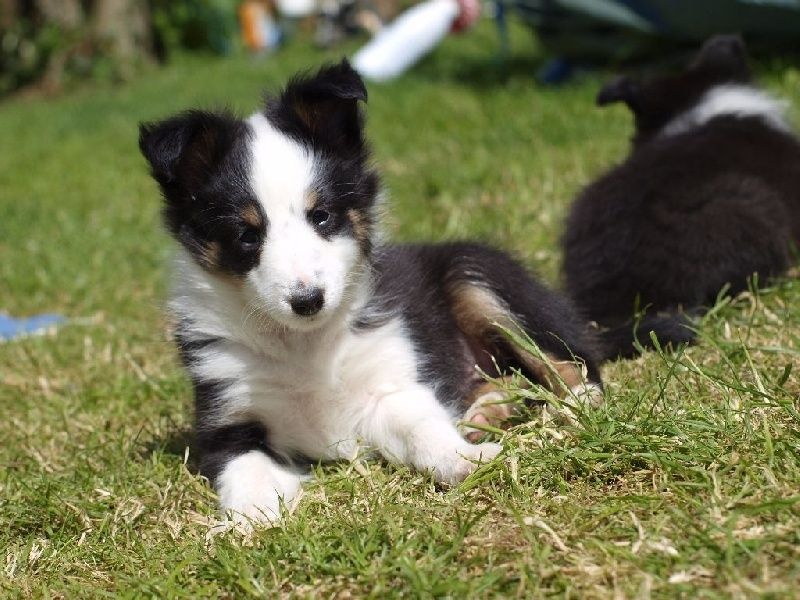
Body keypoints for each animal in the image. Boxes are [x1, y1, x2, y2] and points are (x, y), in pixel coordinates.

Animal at [139, 61, 600, 528]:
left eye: (321, 216)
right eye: (247, 235)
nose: (308, 301)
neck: (305, 344)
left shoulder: (390, 384)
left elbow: (422, 426)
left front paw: (466, 459)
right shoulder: (227, 419)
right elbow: (243, 470)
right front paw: (252, 520)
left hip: (477, 277)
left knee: (569, 361)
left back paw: (577, 406)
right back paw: (486, 413)